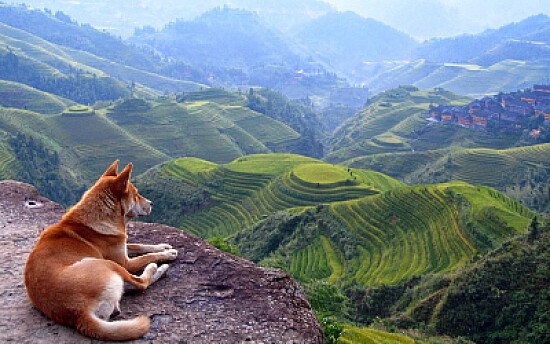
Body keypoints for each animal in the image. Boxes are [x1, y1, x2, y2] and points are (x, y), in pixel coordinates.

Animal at [23, 160, 178, 340]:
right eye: (136, 194)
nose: (152, 203)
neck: (99, 216)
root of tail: (79, 314)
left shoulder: (121, 245)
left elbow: (139, 245)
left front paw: (163, 246)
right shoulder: (125, 262)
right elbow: (146, 256)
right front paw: (166, 254)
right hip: (107, 264)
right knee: (140, 283)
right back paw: (158, 268)